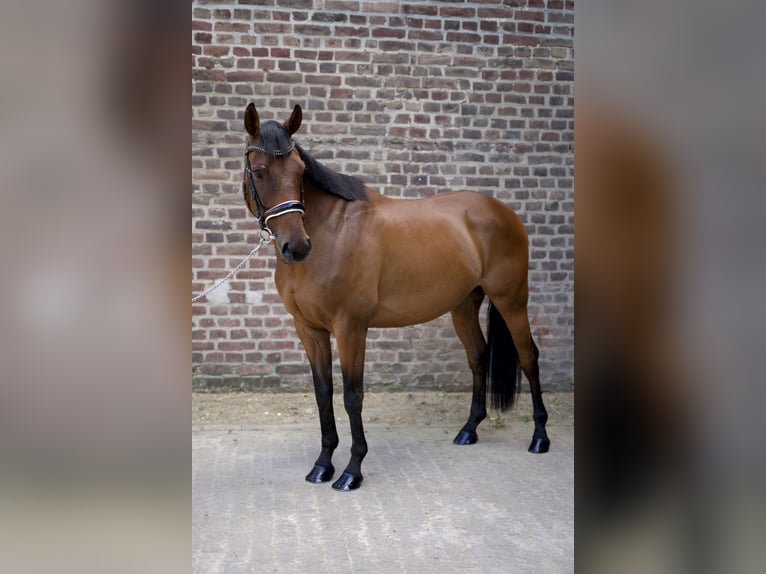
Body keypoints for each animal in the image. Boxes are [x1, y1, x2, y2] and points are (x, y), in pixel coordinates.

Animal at [241, 103, 550, 491]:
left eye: (299, 171)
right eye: (259, 171)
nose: (295, 247)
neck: (330, 232)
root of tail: (505, 212)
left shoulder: (351, 328)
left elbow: (352, 396)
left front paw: (351, 471)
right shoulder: (309, 330)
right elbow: (323, 393)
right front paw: (322, 465)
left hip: (512, 300)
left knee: (528, 357)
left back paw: (540, 437)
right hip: (464, 304)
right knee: (478, 356)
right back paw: (468, 430)